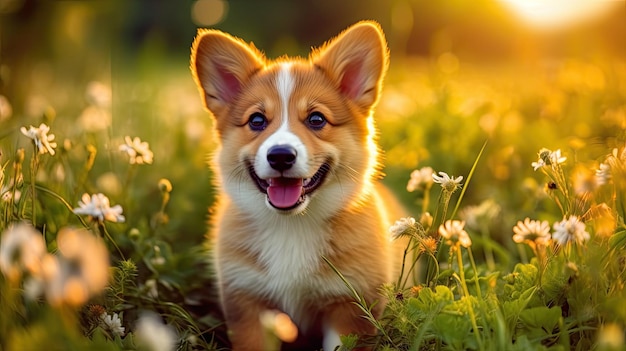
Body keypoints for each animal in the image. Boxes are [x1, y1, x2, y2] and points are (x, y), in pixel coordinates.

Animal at [190, 20, 402, 350]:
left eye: (316, 119)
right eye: (257, 121)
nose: (280, 155)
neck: (292, 226)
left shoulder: (350, 308)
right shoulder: (248, 303)